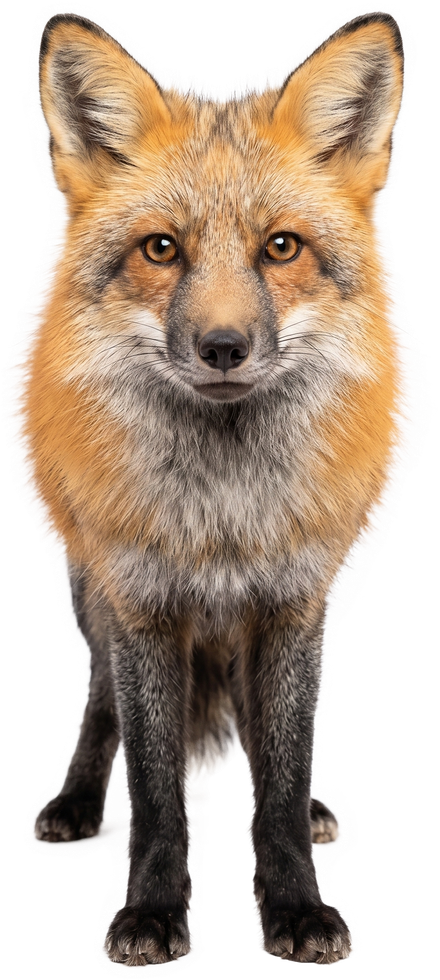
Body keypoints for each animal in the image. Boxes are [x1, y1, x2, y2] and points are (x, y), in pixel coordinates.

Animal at [7, 8, 422, 968]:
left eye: (282, 247)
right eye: (162, 248)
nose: (224, 346)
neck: (223, 519)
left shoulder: (295, 606)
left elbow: (280, 782)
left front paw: (298, 909)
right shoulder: (142, 603)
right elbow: (158, 791)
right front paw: (153, 914)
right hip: (89, 592)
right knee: (100, 700)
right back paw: (77, 803)